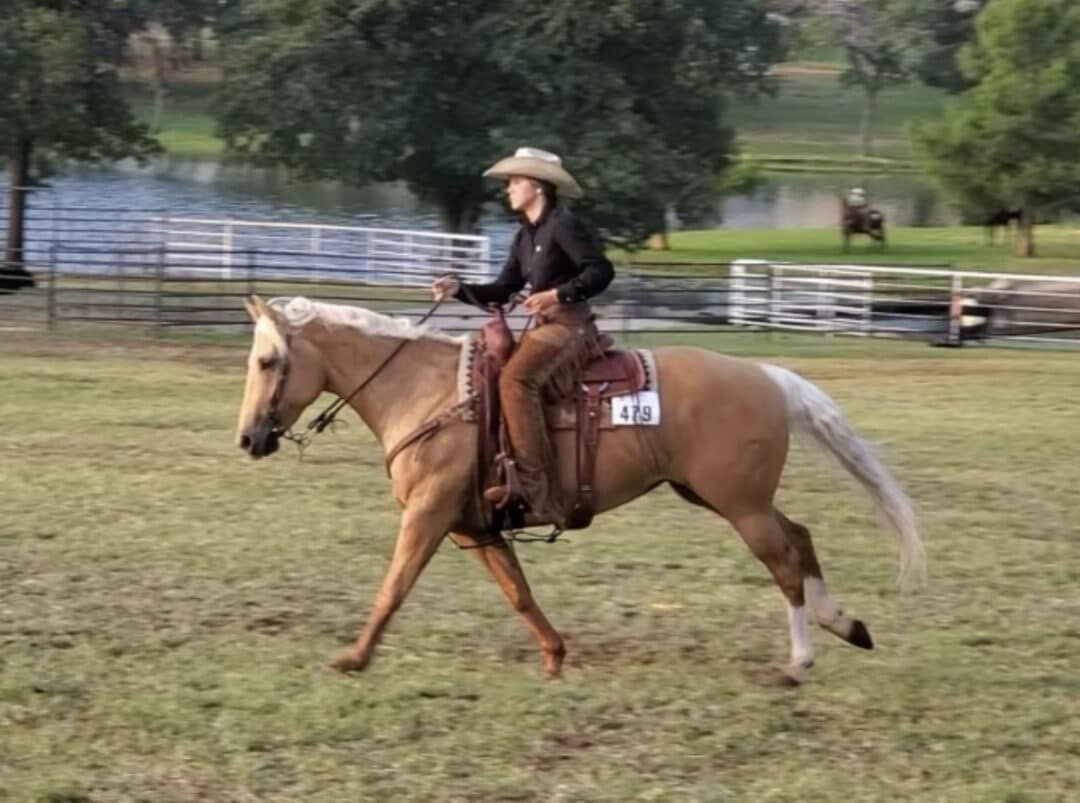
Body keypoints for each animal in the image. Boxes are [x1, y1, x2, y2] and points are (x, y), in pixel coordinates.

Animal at [232, 297, 924, 686]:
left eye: (267, 362)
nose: (247, 438)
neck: (426, 390)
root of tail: (767, 375)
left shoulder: (428, 515)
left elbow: (394, 586)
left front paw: (353, 657)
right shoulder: (473, 525)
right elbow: (518, 592)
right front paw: (555, 655)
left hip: (740, 506)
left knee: (783, 562)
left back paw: (798, 663)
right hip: (719, 495)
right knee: (800, 538)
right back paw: (846, 624)